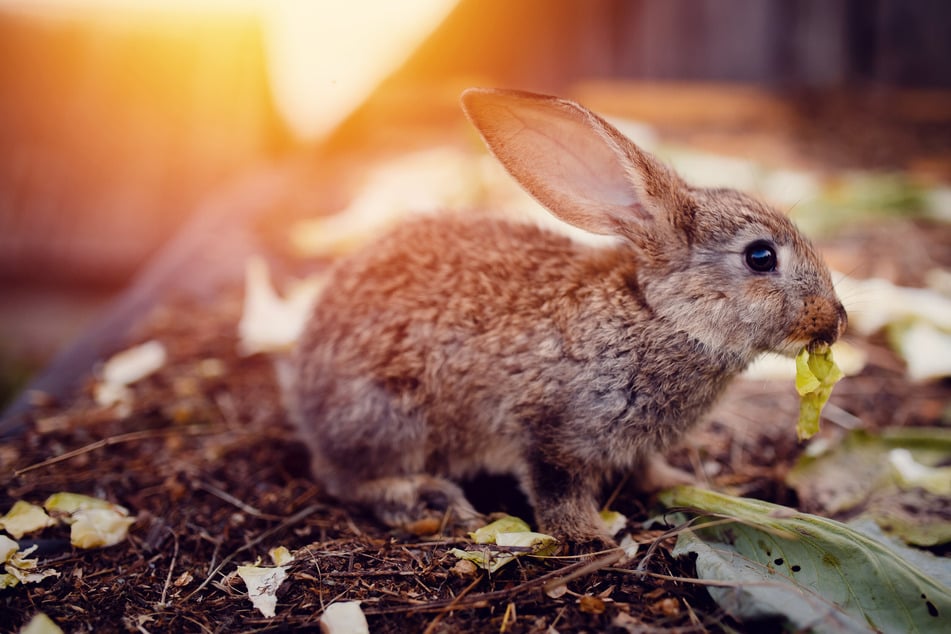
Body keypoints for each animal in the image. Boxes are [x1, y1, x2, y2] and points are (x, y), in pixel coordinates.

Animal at [288, 88, 847, 552]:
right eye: (760, 257)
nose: (835, 321)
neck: (659, 315)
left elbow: (644, 466)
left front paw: (675, 483)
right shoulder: (553, 430)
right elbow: (557, 489)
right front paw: (592, 539)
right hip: (389, 419)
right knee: (347, 478)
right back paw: (429, 499)